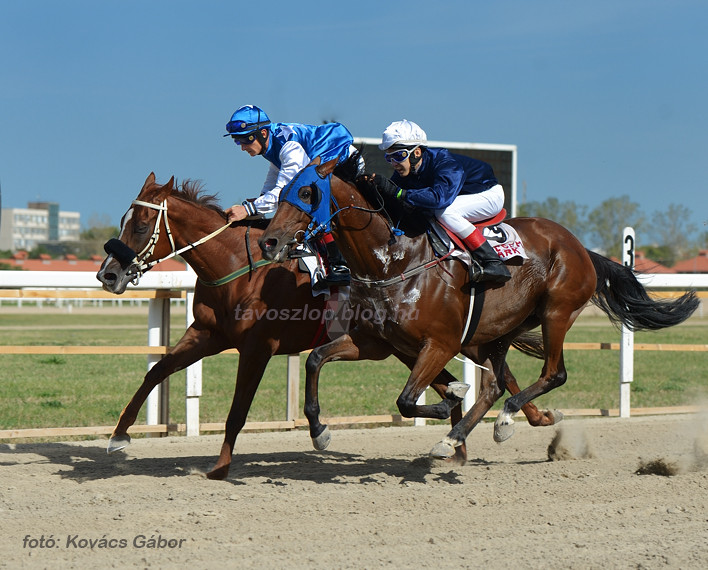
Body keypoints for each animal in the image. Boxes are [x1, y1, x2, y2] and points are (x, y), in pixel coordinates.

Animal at [97, 172, 556, 474]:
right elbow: (156, 371)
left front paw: (221, 467)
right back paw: (468, 440)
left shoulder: (258, 348)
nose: (108, 275)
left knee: (497, 376)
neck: (239, 267)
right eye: (123, 220)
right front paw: (118, 438)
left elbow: (237, 410)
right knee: (464, 381)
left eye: (141, 225)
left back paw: (523, 422)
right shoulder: (207, 335)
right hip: (408, 347)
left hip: (451, 338)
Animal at [258, 154, 696, 458]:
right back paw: (462, 435)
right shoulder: (375, 343)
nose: (269, 241)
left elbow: (407, 400)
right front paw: (320, 432)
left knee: (552, 374)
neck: (394, 260)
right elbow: (316, 361)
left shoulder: (440, 342)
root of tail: (580, 248)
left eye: (308, 193)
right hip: (498, 330)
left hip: (556, 312)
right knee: (494, 385)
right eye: (282, 193)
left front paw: (452, 393)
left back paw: (499, 420)